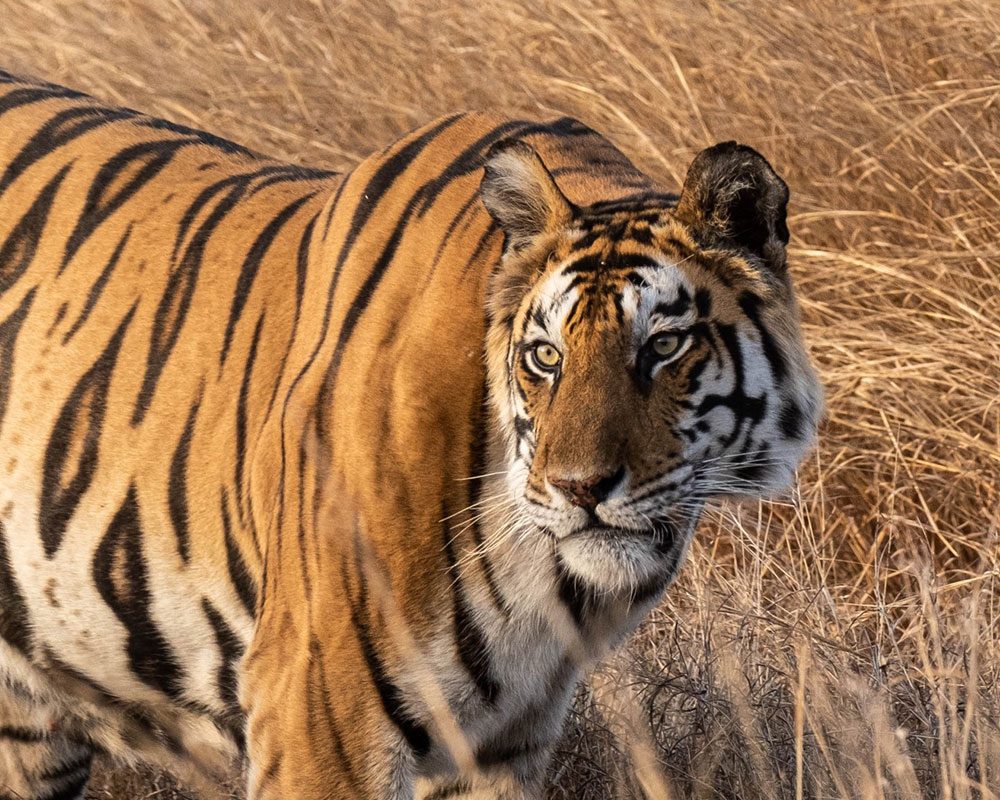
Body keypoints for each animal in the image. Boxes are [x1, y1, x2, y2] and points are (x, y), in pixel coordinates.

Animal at [0, 67, 820, 800]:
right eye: (545, 357)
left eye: (663, 346)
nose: (580, 488)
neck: (544, 578)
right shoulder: (318, 711)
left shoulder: (503, 742)